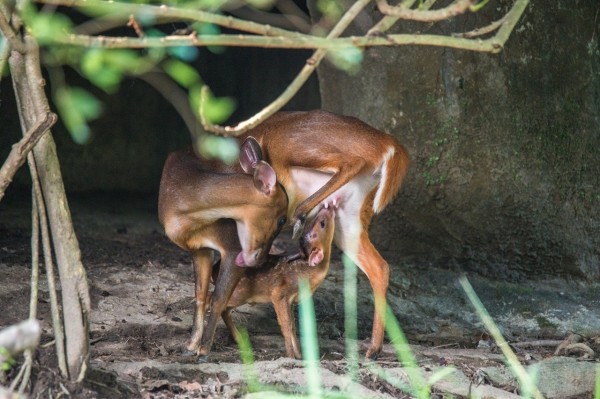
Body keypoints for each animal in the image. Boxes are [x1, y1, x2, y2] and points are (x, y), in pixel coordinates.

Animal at [157, 147, 288, 354]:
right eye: (282, 219)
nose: (259, 260)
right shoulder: (199, 248)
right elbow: (201, 296)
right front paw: (191, 346)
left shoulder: (232, 245)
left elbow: (218, 298)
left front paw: (203, 351)